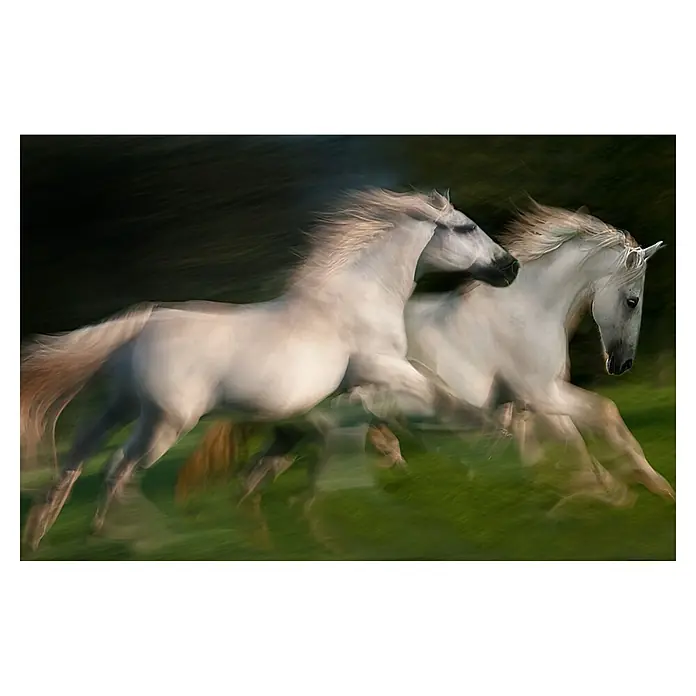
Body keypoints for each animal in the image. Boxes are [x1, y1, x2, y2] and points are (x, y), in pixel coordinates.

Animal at [21, 187, 519, 549]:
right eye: (466, 227)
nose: (510, 267)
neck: (353, 302)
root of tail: (139, 325)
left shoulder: (342, 393)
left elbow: (334, 434)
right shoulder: (384, 365)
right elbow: (438, 396)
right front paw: (491, 437)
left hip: (119, 408)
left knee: (74, 463)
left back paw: (42, 533)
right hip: (165, 422)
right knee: (116, 471)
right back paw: (137, 535)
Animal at [183, 202, 672, 515]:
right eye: (632, 300)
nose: (622, 364)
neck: (526, 310)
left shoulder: (531, 403)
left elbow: (562, 448)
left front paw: (595, 492)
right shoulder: (542, 393)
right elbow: (603, 419)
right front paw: (649, 489)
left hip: (293, 436)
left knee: (258, 482)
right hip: (326, 433)